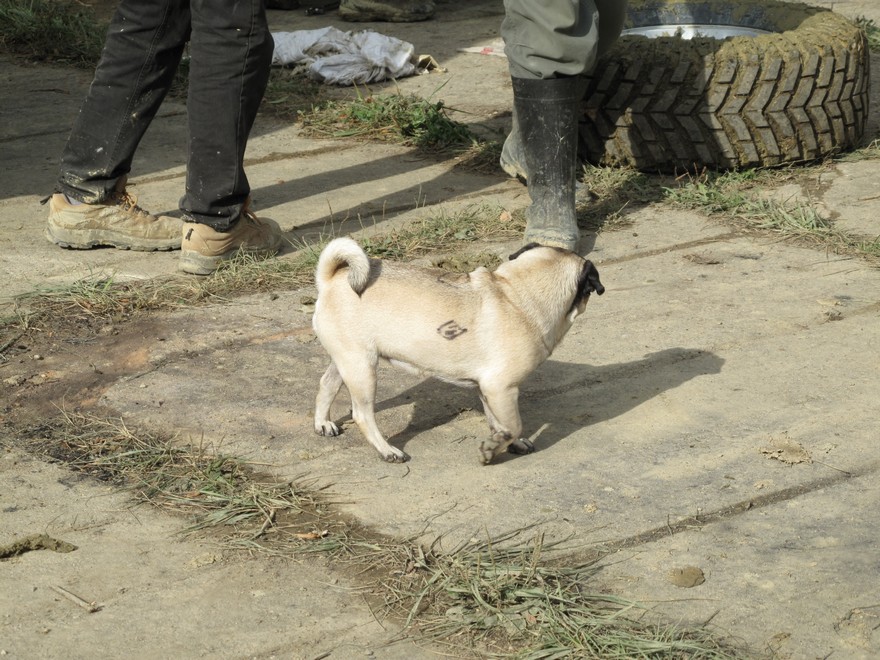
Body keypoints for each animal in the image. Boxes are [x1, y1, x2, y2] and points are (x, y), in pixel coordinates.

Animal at [311, 237, 604, 464]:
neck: (517, 295)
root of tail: (331, 279)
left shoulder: (488, 390)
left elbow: (499, 424)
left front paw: (509, 443)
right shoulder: (502, 388)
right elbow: (512, 425)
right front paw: (493, 450)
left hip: (347, 360)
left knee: (327, 383)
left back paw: (323, 423)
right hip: (362, 368)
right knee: (362, 414)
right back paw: (387, 450)